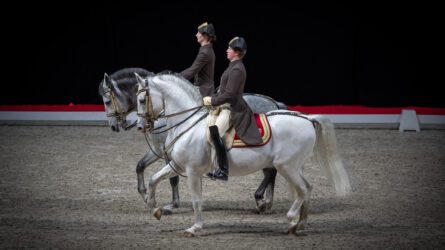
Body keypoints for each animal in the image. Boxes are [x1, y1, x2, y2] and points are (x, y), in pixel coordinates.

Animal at [98, 67, 286, 214]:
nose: (115, 126)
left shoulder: (166, 151)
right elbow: (140, 166)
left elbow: (172, 178)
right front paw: (145, 194)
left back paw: (260, 199)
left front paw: (172, 204)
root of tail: (273, 103)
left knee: (270, 172)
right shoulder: (158, 149)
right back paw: (265, 202)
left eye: (107, 101)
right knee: (271, 172)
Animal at [134, 73, 348, 236]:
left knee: (302, 189)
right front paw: (154, 208)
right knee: (307, 188)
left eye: (142, 100)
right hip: (294, 167)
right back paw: (299, 224)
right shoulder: (177, 165)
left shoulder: (192, 171)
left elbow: (196, 200)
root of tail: (307, 118)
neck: (187, 124)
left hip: (287, 167)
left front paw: (194, 228)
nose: (140, 127)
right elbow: (154, 179)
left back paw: (288, 218)